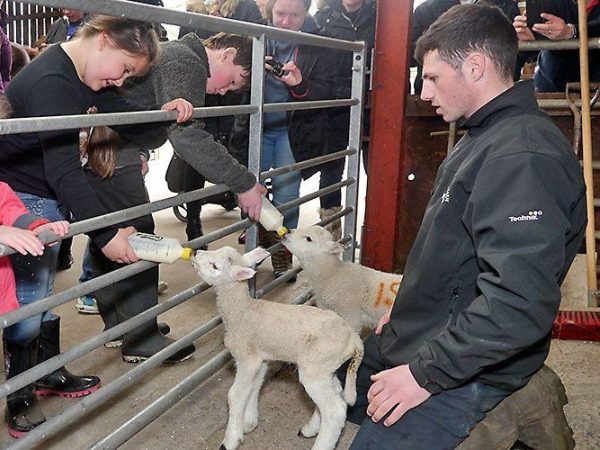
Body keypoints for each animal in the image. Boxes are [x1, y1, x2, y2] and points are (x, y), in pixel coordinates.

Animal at [192, 246, 364, 450]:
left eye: (214, 266)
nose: (195, 253)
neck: (241, 311)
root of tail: (354, 339)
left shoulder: (247, 359)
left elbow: (235, 395)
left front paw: (231, 439)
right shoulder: (260, 360)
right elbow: (253, 388)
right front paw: (249, 423)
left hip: (315, 368)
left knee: (335, 409)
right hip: (326, 367)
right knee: (337, 393)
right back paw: (310, 429)